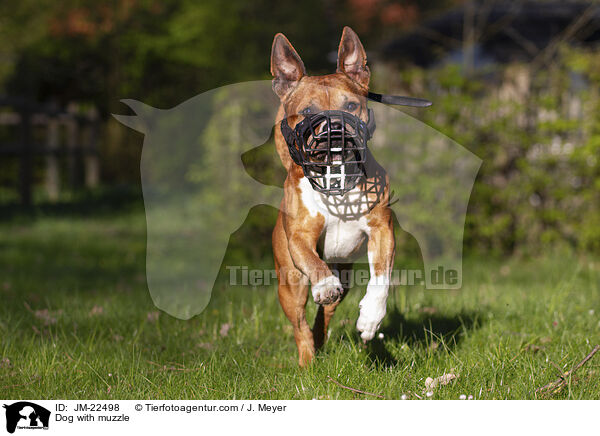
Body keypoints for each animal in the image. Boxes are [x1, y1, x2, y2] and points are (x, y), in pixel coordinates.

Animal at [270, 24, 394, 364]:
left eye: (350, 105)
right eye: (307, 112)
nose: (335, 131)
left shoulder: (382, 229)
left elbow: (381, 279)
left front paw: (371, 318)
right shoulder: (299, 237)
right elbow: (313, 263)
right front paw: (324, 285)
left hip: (345, 274)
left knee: (323, 315)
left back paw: (321, 338)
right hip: (290, 282)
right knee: (300, 323)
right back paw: (308, 361)